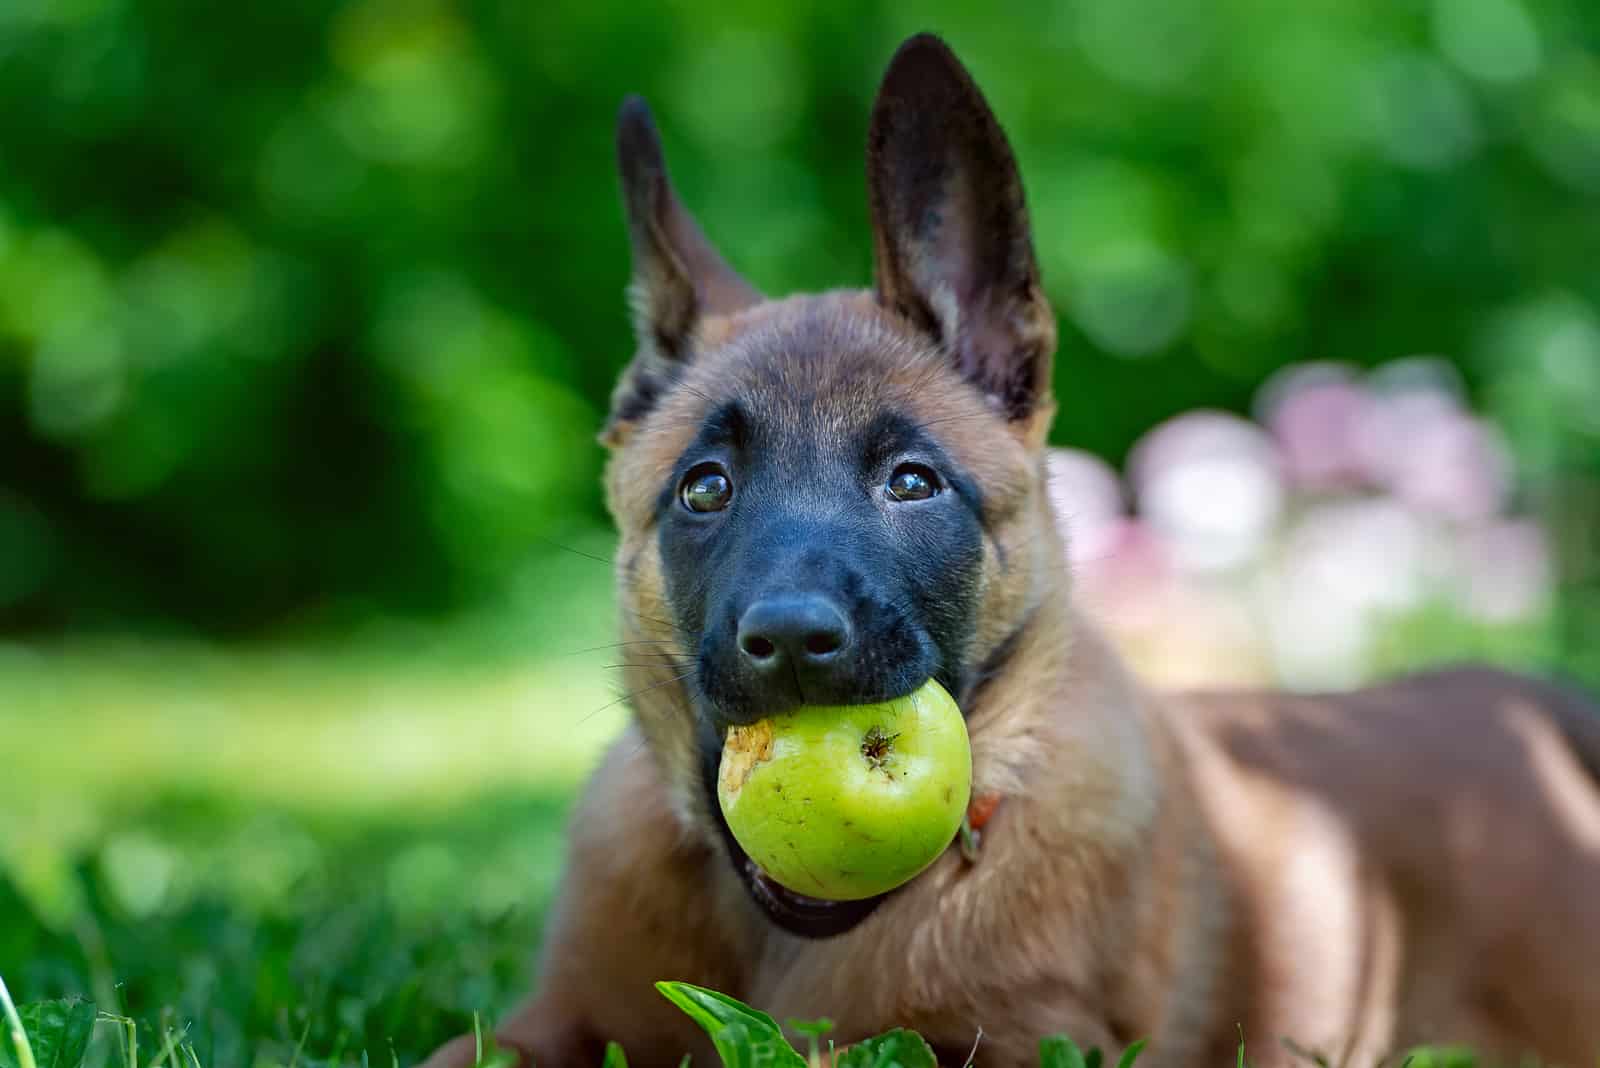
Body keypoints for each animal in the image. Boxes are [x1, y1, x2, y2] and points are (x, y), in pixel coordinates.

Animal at [422, 33, 1600, 1068]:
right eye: (704, 489)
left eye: (912, 483)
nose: (794, 642)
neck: (783, 945)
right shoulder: (547, 1022)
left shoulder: (1026, 1043)